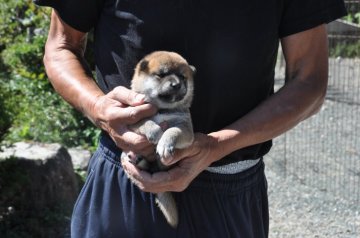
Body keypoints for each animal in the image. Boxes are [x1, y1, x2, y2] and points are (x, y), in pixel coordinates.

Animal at [121, 51, 195, 228]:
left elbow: (172, 130)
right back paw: (134, 156)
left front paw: (165, 143)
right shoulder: (133, 118)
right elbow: (145, 121)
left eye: (182, 77)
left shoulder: (186, 129)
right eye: (161, 75)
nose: (176, 85)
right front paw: (155, 131)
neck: (162, 109)